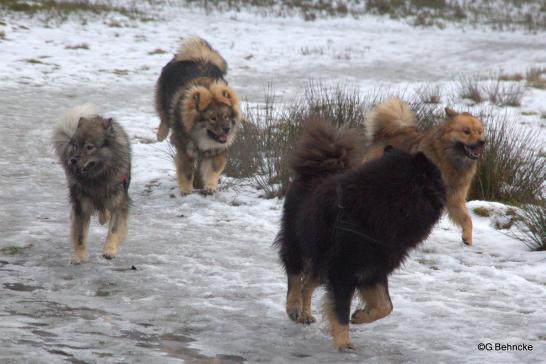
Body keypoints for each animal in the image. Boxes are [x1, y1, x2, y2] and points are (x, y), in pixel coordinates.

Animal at [274, 116, 444, 350]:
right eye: (436, 176)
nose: (445, 189)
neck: (388, 203)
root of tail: (318, 168)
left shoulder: (373, 269)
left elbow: (386, 305)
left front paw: (361, 315)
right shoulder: (344, 268)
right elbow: (341, 310)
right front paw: (343, 343)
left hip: (321, 258)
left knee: (308, 284)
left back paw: (305, 314)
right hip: (298, 241)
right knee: (295, 274)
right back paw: (293, 307)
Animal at [362, 97, 484, 245]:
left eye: (480, 131)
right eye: (466, 131)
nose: (482, 142)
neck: (449, 160)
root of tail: (384, 134)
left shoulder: (454, 198)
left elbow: (467, 219)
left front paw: (467, 237)